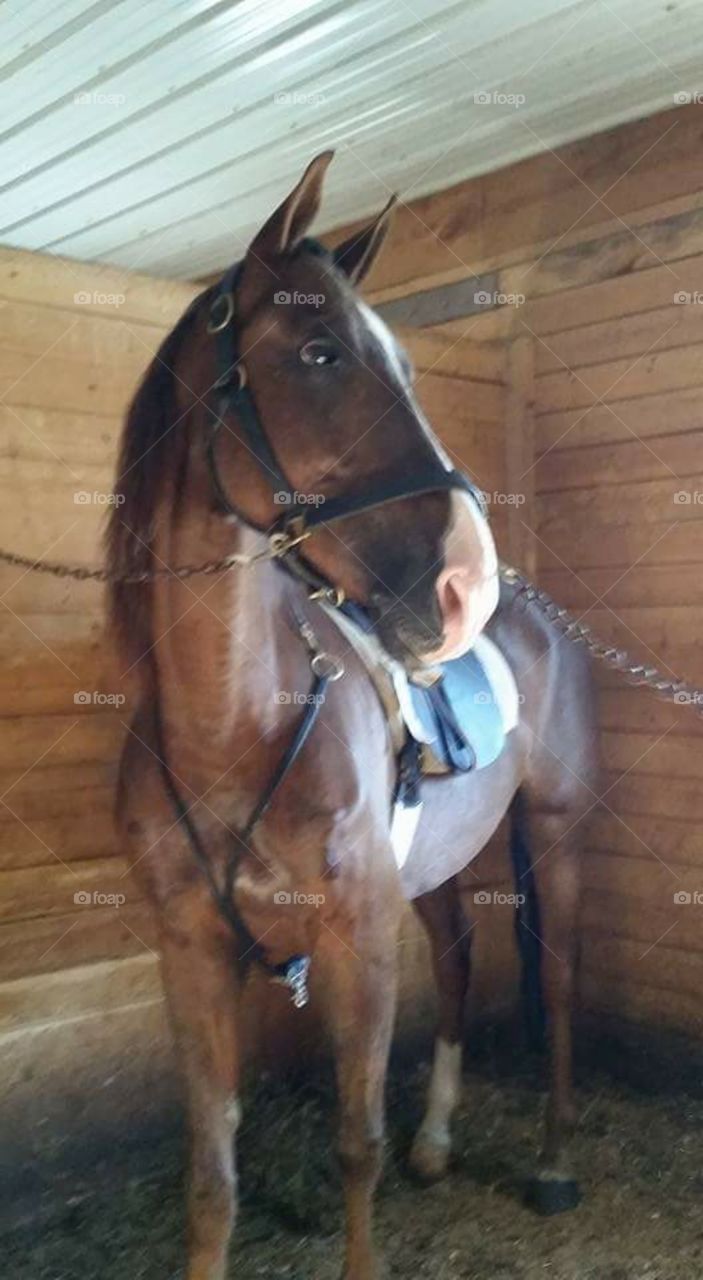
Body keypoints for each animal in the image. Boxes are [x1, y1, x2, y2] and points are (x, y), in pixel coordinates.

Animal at [107, 151, 598, 1280]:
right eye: (321, 350)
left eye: (404, 364)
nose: (465, 583)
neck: (234, 728)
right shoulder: (189, 948)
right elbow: (212, 1173)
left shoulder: (357, 934)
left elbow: (353, 1143)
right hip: (441, 866)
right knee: (458, 960)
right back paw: (439, 1141)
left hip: (551, 829)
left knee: (554, 987)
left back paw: (553, 1162)